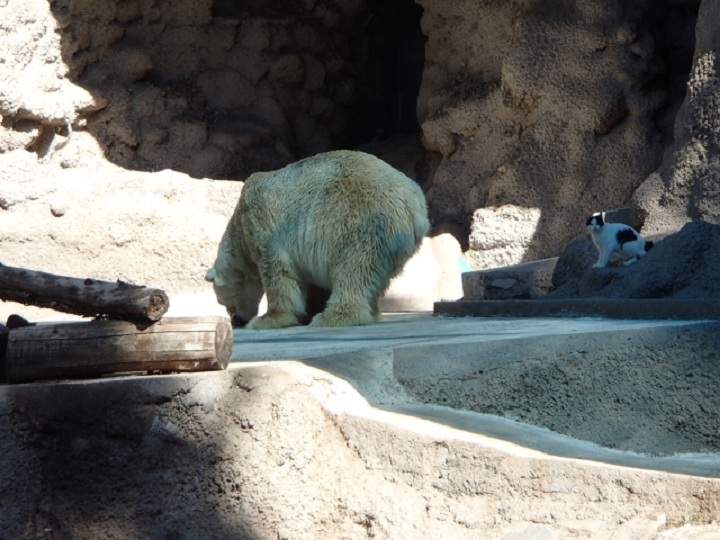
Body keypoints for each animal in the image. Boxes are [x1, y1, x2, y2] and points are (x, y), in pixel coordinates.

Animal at [206, 150, 430, 330]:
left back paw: (332, 317)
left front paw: (268, 319)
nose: (236, 320)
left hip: (360, 219)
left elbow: (278, 273)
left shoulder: (264, 226)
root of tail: (416, 207)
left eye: (225, 303)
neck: (239, 226)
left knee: (354, 268)